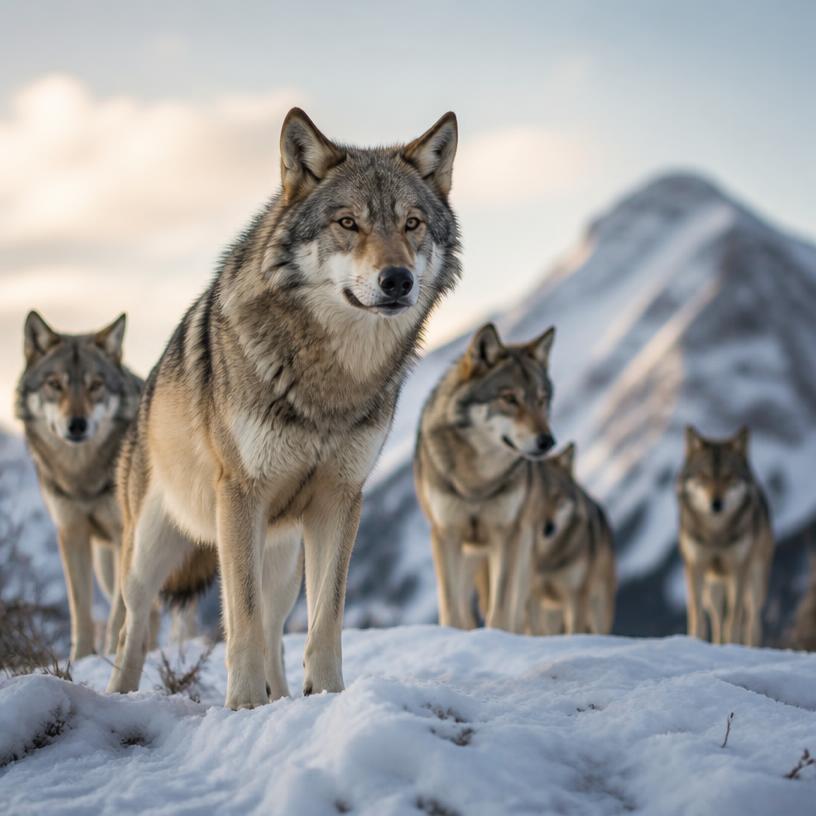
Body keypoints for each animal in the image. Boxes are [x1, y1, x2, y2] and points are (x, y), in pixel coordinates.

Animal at [15, 311, 142, 661]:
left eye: (95, 386)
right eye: (55, 384)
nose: (76, 425)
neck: (83, 476)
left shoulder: (123, 534)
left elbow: (117, 612)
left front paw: (110, 653)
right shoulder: (72, 533)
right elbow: (80, 610)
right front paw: (81, 659)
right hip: (104, 565)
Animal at [106, 108, 461, 708]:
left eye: (412, 223)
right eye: (348, 223)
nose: (397, 280)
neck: (331, 380)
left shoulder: (340, 499)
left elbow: (326, 618)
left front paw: (327, 695)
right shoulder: (241, 496)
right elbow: (242, 619)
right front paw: (244, 705)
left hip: (284, 557)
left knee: (274, 626)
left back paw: (282, 698)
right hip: (149, 554)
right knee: (134, 629)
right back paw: (121, 696)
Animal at [414, 322, 556, 633]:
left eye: (541, 400)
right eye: (509, 398)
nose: (547, 441)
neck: (477, 482)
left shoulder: (506, 536)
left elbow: (501, 610)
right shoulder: (446, 534)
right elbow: (452, 611)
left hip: (521, 551)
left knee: (517, 610)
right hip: (469, 556)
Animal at [526, 443, 616, 636]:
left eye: (556, 496)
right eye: (535, 499)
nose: (547, 528)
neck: (547, 557)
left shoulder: (576, 596)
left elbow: (574, 631)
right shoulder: (531, 595)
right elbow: (536, 631)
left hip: (598, 608)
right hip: (551, 611)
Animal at [677, 426, 774, 646]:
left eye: (729, 476)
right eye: (703, 476)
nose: (716, 503)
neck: (716, 534)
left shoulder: (739, 569)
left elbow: (734, 621)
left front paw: (732, 645)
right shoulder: (695, 566)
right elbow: (697, 618)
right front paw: (695, 642)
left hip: (754, 583)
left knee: (752, 620)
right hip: (712, 588)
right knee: (715, 617)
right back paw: (716, 644)